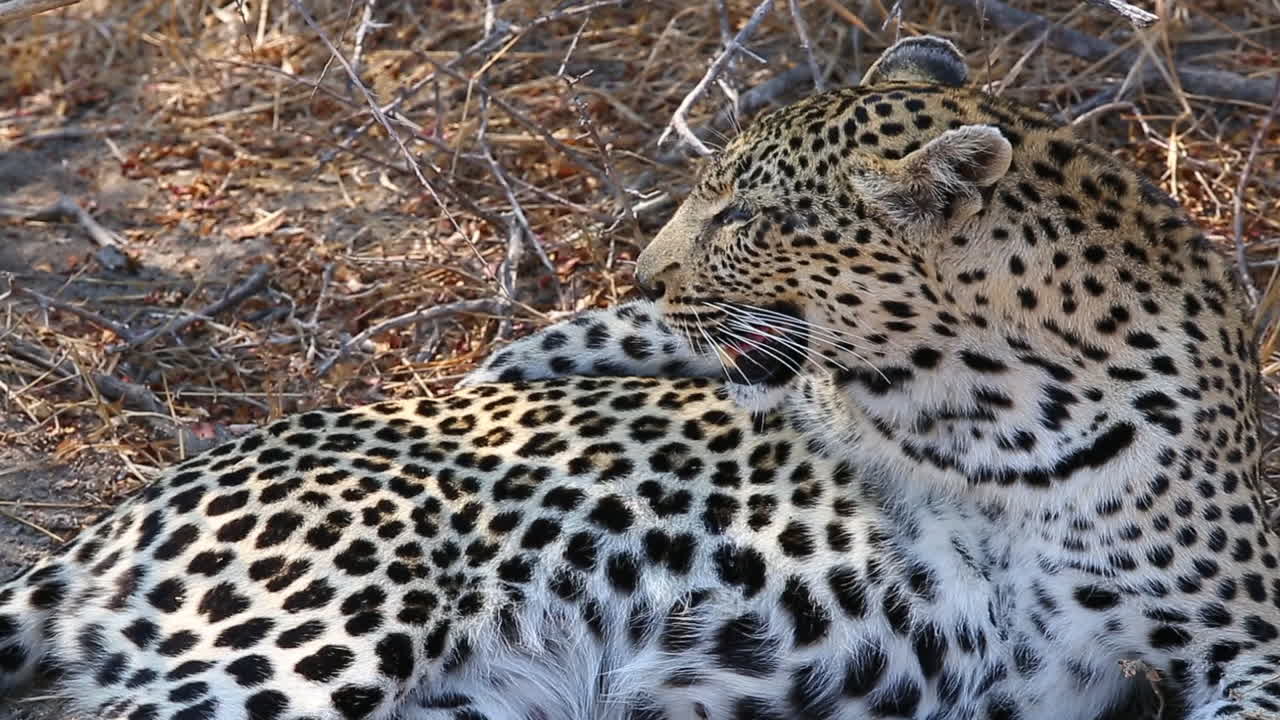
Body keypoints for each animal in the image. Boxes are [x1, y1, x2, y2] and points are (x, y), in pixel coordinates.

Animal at [1, 35, 1276, 720]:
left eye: (748, 217)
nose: (646, 275)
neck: (984, 418)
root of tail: (127, 512)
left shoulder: (1247, 639)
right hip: (313, 637)